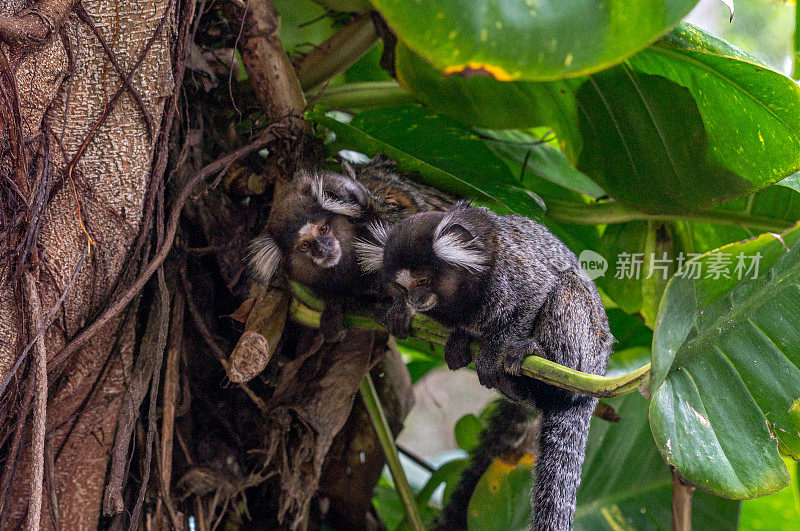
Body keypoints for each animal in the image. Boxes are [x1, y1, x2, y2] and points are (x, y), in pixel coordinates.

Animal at [356, 201, 612, 531]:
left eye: (423, 281)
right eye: (402, 287)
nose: (415, 298)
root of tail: (596, 380)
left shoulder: (512, 272)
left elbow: (536, 295)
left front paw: (496, 350)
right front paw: (452, 335)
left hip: (587, 352)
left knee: (568, 287)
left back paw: (538, 359)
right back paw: (512, 386)